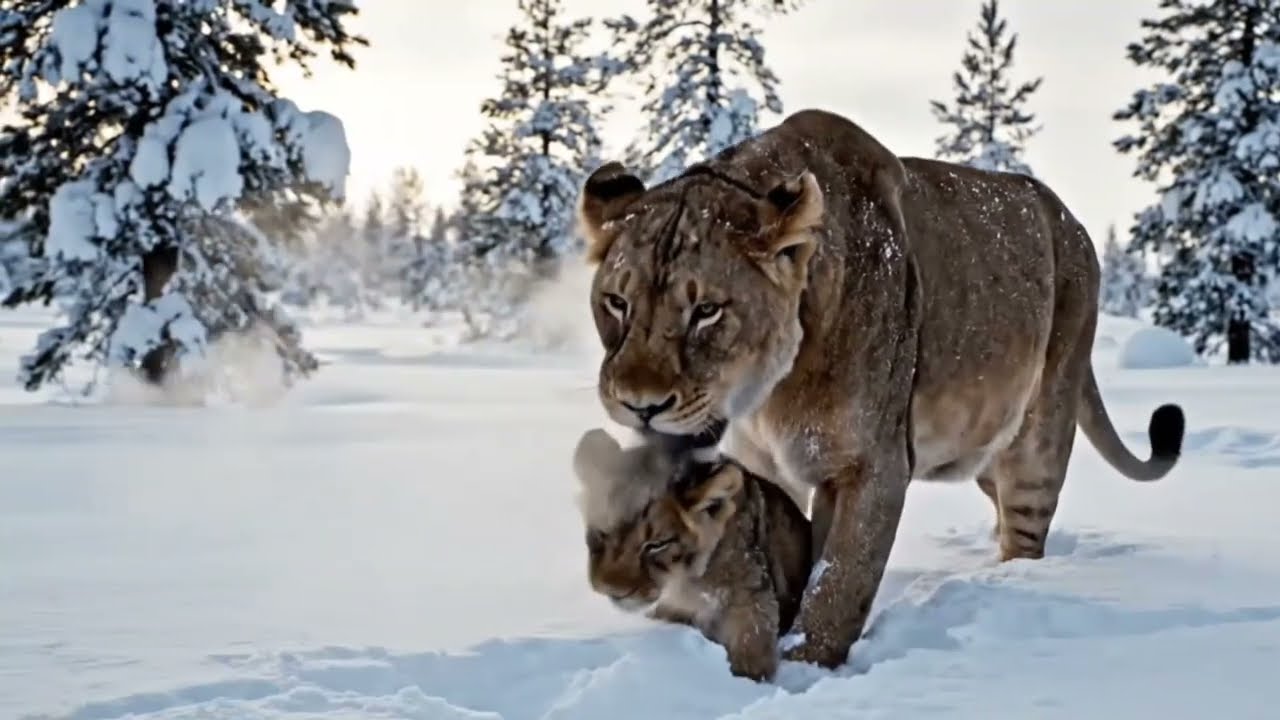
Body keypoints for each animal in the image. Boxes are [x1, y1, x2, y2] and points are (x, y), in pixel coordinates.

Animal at [572, 428, 811, 681]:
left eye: (656, 544)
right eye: (602, 532)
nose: (612, 590)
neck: (685, 585)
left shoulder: (752, 601)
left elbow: (752, 648)